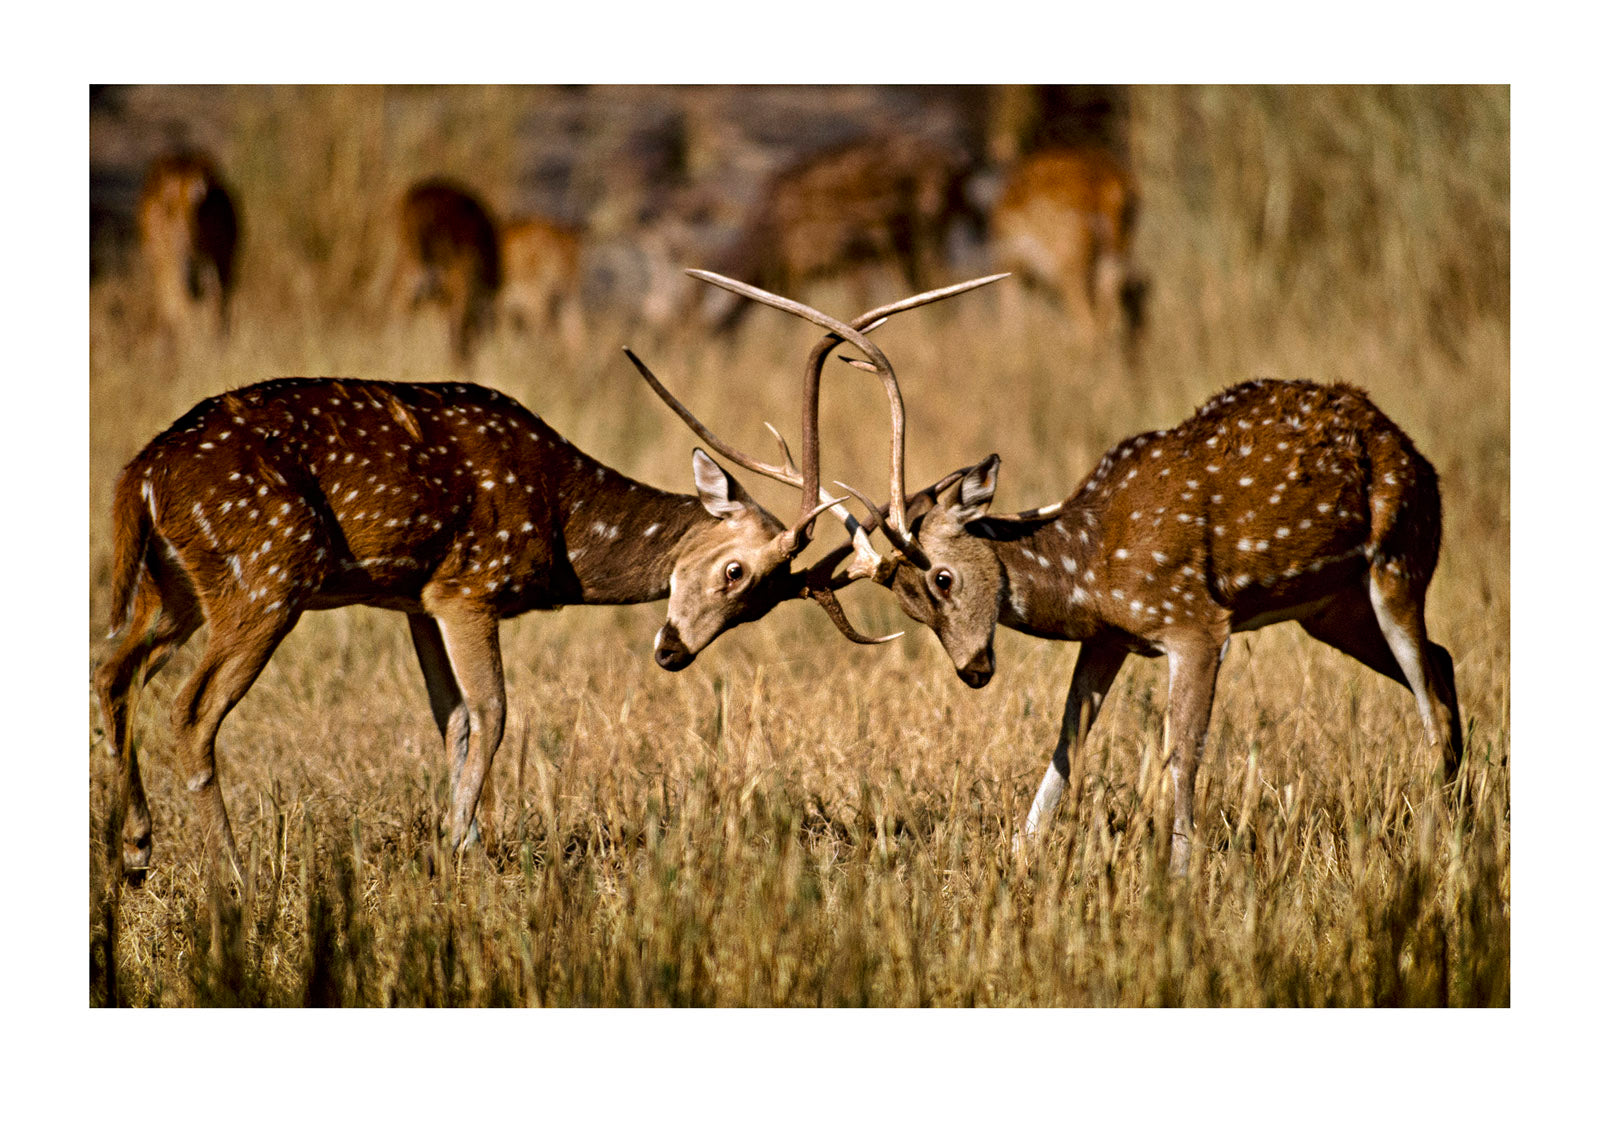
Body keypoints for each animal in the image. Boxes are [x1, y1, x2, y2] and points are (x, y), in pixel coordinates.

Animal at [93, 271, 992, 883]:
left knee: (112, 667)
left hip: (175, 584)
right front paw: (462, 849)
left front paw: (456, 836)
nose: (672, 651)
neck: (561, 528)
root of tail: (140, 472)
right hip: (266, 575)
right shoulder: (469, 583)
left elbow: (454, 719)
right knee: (190, 708)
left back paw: (134, 849)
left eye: (756, 607)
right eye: (735, 569)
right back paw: (234, 873)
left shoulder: (415, 595)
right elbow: (493, 713)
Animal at [700, 271, 1465, 876]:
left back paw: (1439, 835)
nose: (974, 669)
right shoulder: (1110, 637)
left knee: (1427, 696)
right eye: (910, 607)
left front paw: (1181, 875)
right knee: (1443, 661)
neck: (1091, 566)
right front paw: (1018, 854)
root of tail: (1419, 456)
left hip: (1399, 557)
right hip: (1330, 609)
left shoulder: (1196, 623)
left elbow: (1181, 751)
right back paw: (1460, 810)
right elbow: (1067, 742)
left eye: (944, 577)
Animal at [992, 147, 1145, 353]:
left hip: (1069, 267)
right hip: (1113, 259)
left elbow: (1012, 326)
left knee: (1088, 325)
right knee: (1105, 323)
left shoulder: (1011, 268)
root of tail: (1109, 185)